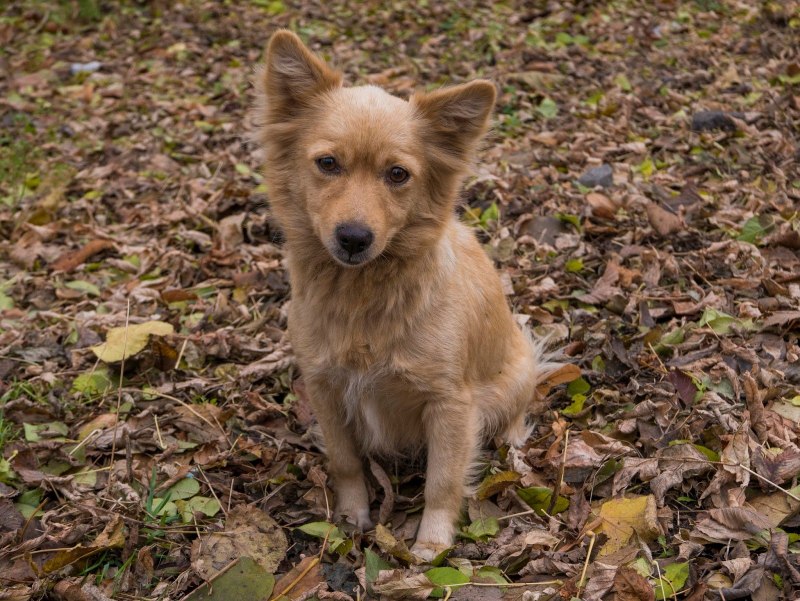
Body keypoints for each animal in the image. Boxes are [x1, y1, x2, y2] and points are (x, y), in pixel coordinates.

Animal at [256, 31, 556, 556]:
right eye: (328, 163)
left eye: (397, 174)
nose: (354, 238)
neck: (363, 296)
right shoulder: (325, 387)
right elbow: (345, 462)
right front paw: (352, 516)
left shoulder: (450, 405)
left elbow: (443, 481)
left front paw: (432, 546)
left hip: (513, 381)